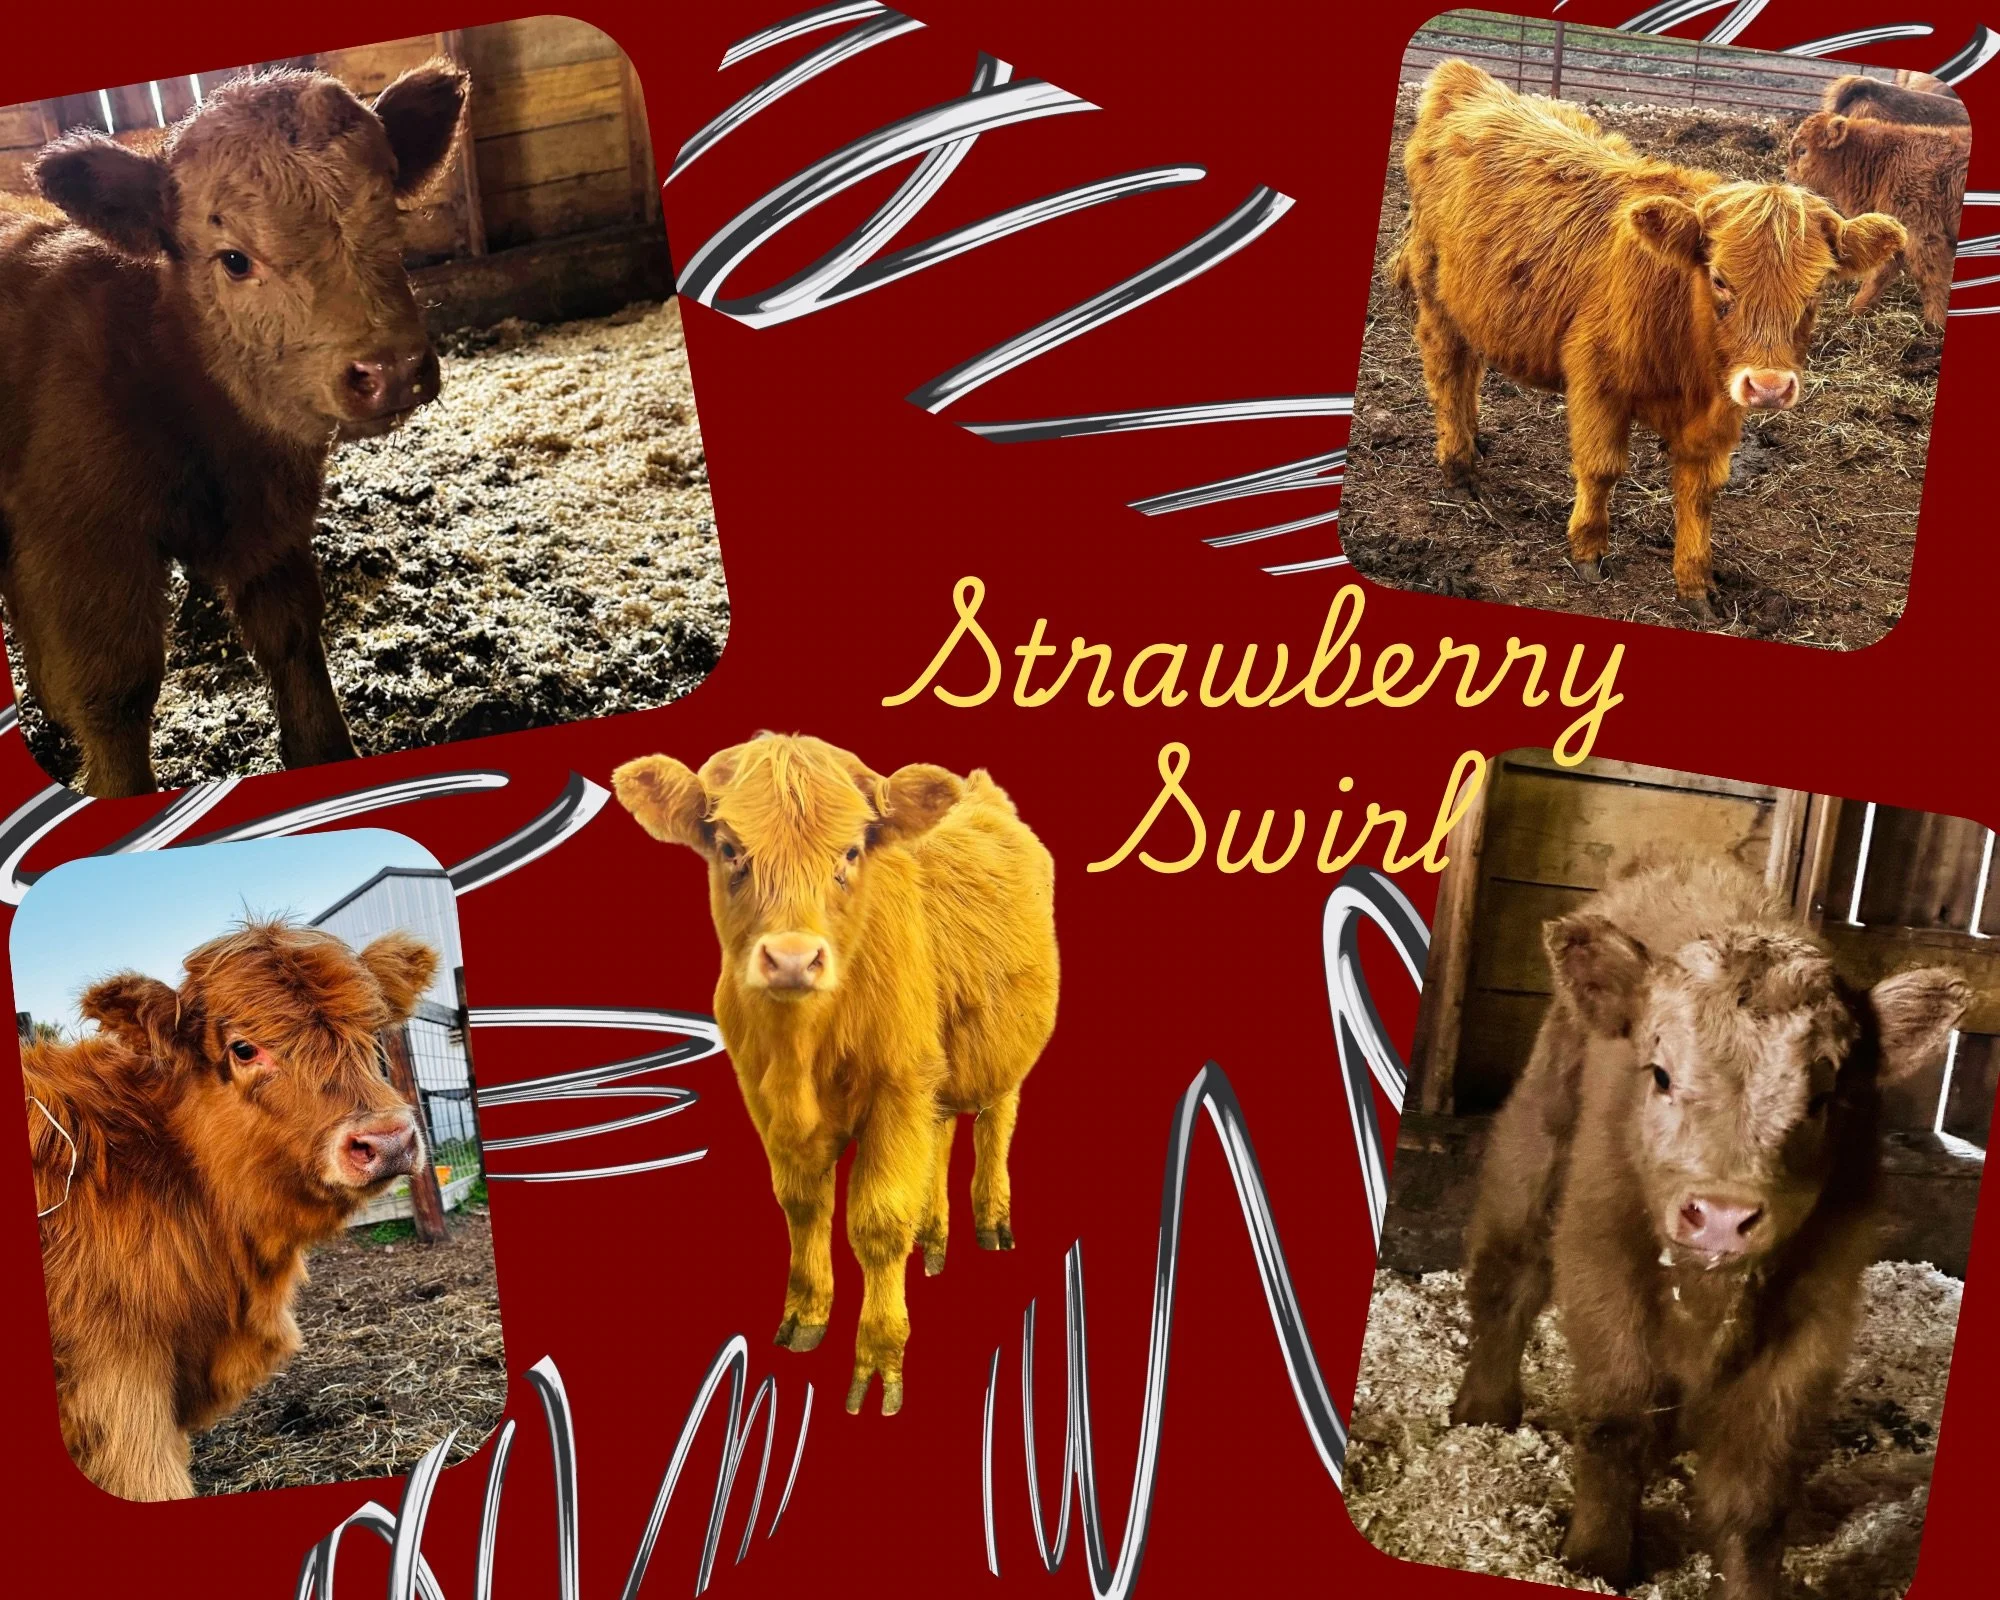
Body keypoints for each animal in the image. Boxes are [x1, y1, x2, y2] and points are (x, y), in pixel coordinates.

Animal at [0, 61, 470, 797]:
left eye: (392, 216)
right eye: (234, 259)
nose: (391, 370)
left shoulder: (272, 526)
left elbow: (291, 635)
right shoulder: (83, 547)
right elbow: (114, 694)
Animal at [612, 733, 1059, 1417]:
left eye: (850, 851)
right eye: (730, 849)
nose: (793, 959)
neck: (801, 1049)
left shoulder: (896, 1089)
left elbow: (876, 1222)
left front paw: (879, 1360)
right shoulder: (767, 1099)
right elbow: (802, 1205)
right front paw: (805, 1317)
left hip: (1000, 1056)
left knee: (992, 1126)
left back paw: (991, 1223)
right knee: (942, 1134)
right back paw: (933, 1239)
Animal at [1392, 61, 1906, 619]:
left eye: (1817, 289)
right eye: (1720, 278)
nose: (1769, 386)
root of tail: (1468, 80)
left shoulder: (1720, 414)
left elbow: (1699, 494)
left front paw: (1695, 584)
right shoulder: (1596, 384)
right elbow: (1601, 469)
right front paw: (1588, 550)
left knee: (1470, 371)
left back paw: (1475, 438)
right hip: (1436, 297)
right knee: (1447, 372)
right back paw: (1459, 469)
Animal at [1447, 853, 1968, 1600]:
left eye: (1823, 1097)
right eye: (1661, 1074)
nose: (1722, 1215)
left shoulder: (1813, 1320)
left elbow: (1756, 1487)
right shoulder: (1603, 1269)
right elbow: (1615, 1424)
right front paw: (1594, 1560)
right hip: (1537, 1140)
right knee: (1506, 1276)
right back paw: (1482, 1411)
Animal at [1787, 112, 1969, 329]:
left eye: (1802, 150)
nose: (1786, 177)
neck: (1884, 162)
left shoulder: (1924, 234)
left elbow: (1931, 277)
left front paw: (1937, 322)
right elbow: (1878, 275)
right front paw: (1856, 309)